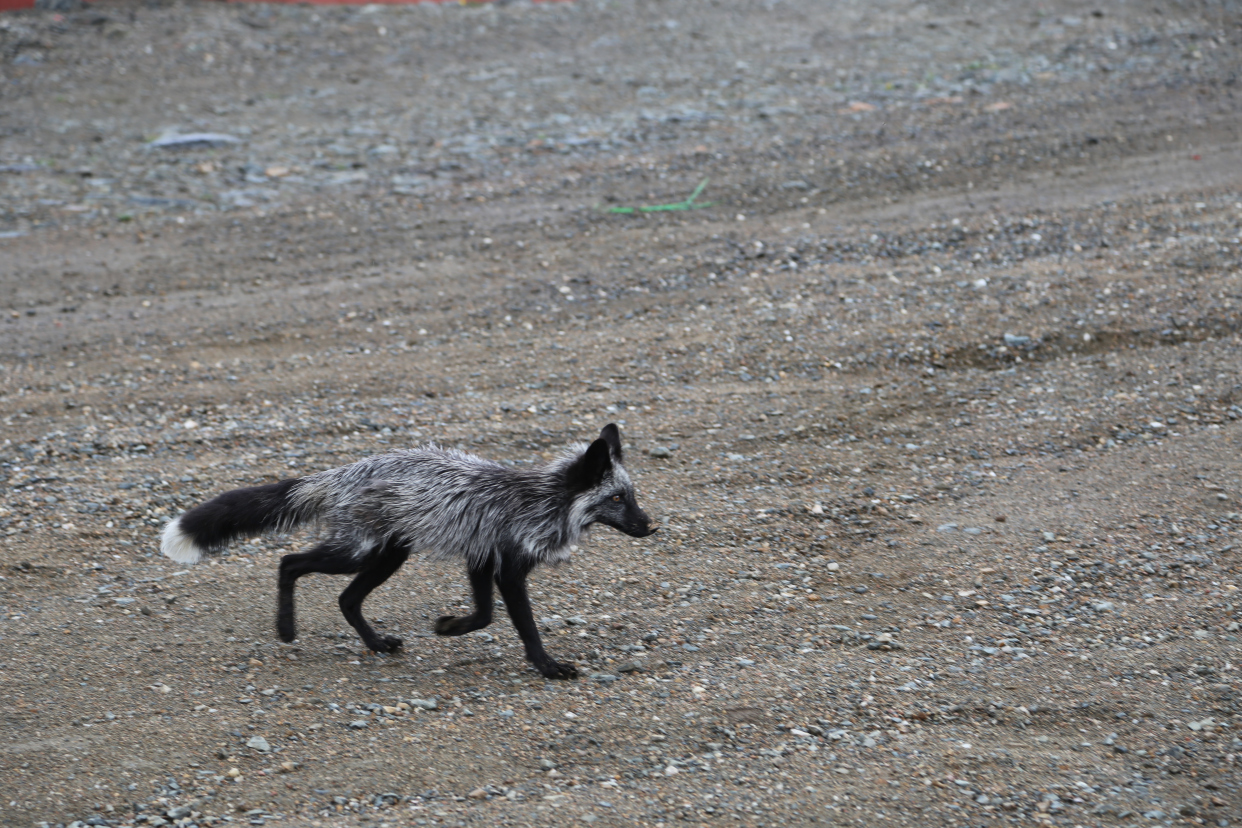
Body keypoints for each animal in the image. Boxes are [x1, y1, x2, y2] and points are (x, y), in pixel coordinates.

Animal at [160, 424, 655, 675]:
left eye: (630, 496)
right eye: (617, 499)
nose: (651, 526)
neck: (541, 501)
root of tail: (340, 472)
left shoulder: (481, 557)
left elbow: (483, 615)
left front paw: (450, 627)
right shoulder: (507, 568)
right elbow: (524, 628)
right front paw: (547, 666)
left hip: (388, 556)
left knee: (346, 599)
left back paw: (377, 644)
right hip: (357, 554)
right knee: (289, 562)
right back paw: (285, 627)